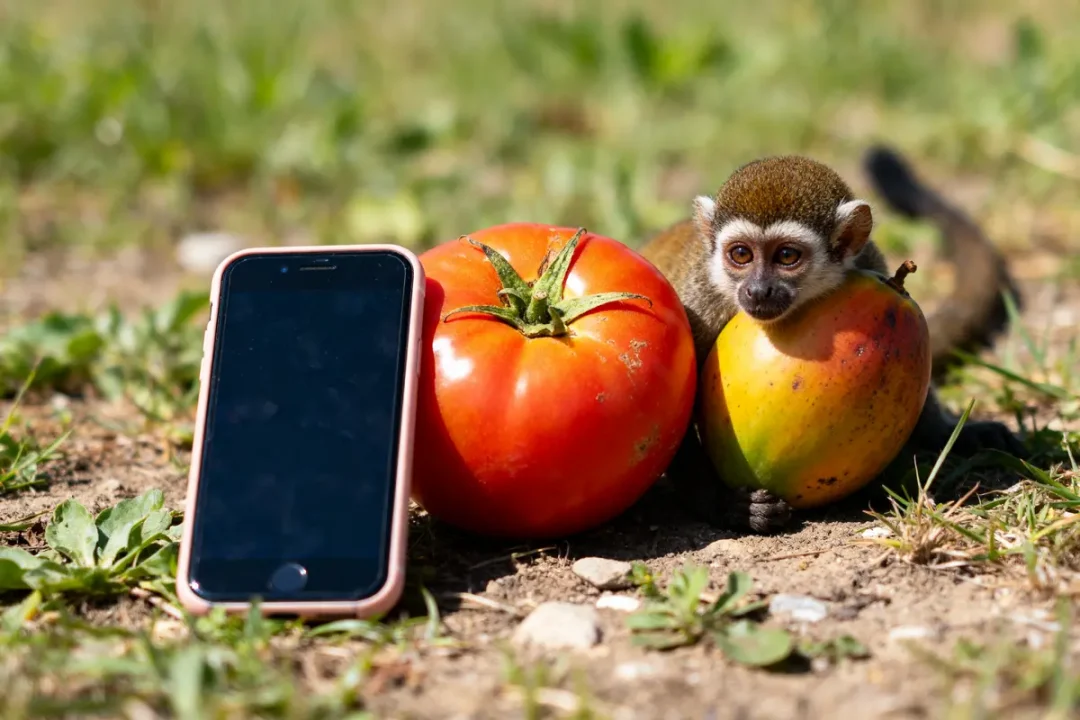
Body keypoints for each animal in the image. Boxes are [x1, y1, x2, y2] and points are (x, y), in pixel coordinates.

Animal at [639, 145, 1026, 534]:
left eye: (787, 256)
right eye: (741, 254)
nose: (758, 290)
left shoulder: (870, 261)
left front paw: (948, 432)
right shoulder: (699, 305)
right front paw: (723, 504)